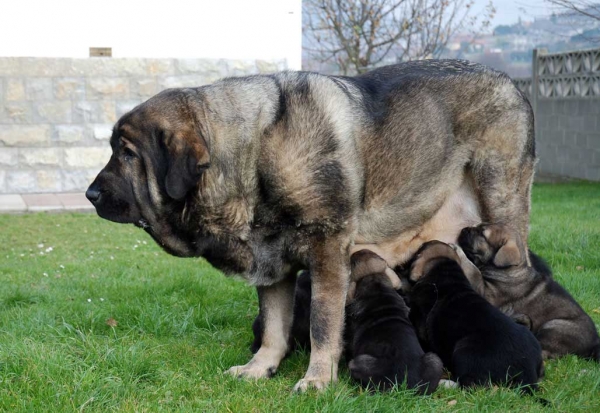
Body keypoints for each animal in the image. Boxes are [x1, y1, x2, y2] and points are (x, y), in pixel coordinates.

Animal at [344, 248, 442, 392]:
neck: (375, 280)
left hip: (357, 363)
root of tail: (402, 386)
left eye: (353, 262)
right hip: (434, 360)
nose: (360, 250)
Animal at [408, 238, 544, 390]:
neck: (446, 270)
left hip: (463, 351)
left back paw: (446, 383)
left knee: (471, 385)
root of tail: (527, 373)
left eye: (419, 250)